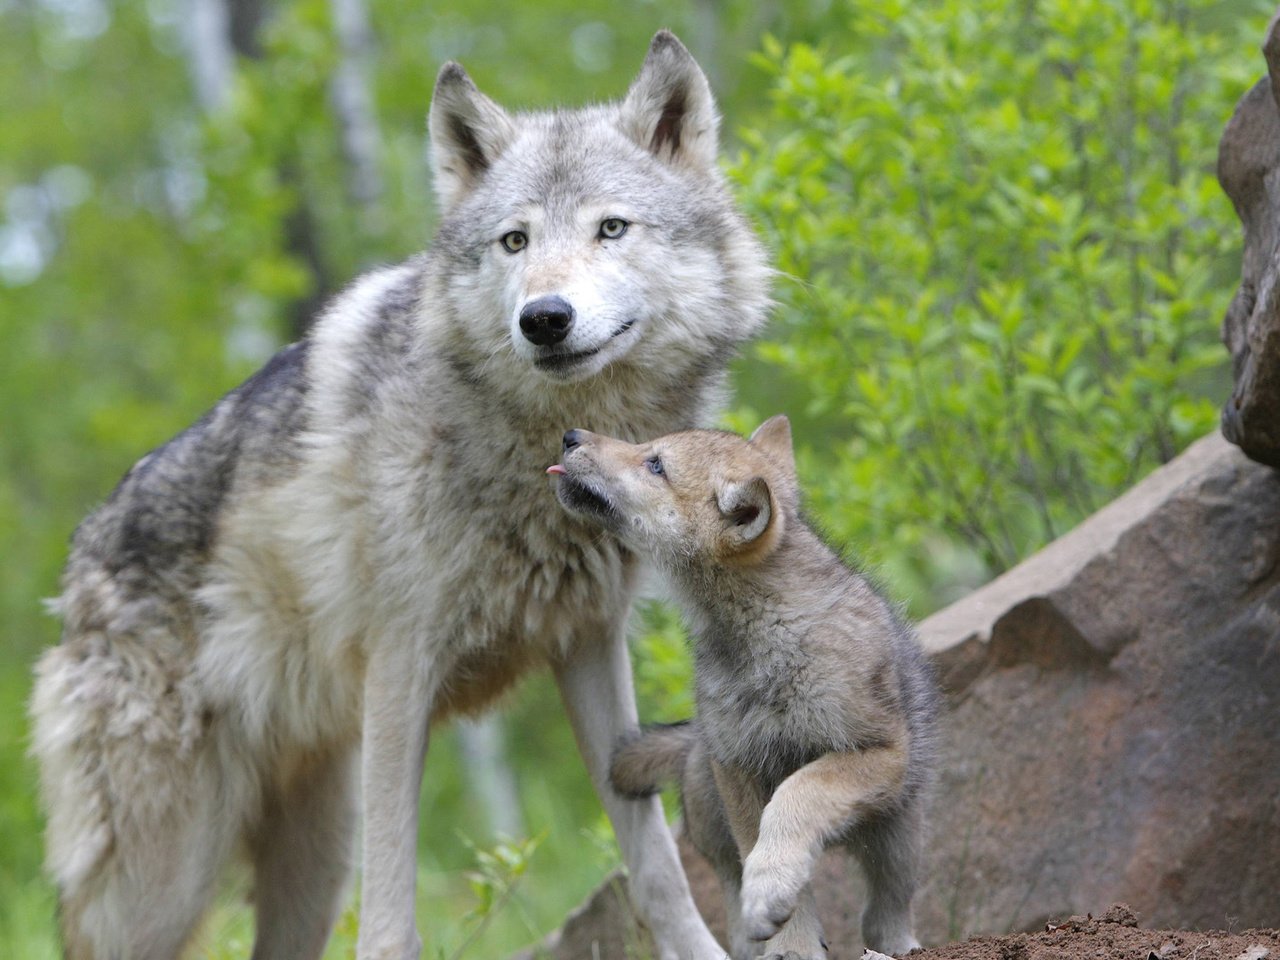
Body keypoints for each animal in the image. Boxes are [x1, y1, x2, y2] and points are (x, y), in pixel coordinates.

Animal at [30, 30, 762, 960]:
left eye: (611, 228)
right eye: (514, 241)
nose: (545, 319)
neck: (535, 453)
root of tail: (78, 565)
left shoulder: (589, 646)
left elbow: (657, 871)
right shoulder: (400, 671)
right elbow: (389, 921)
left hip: (313, 853)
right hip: (164, 879)